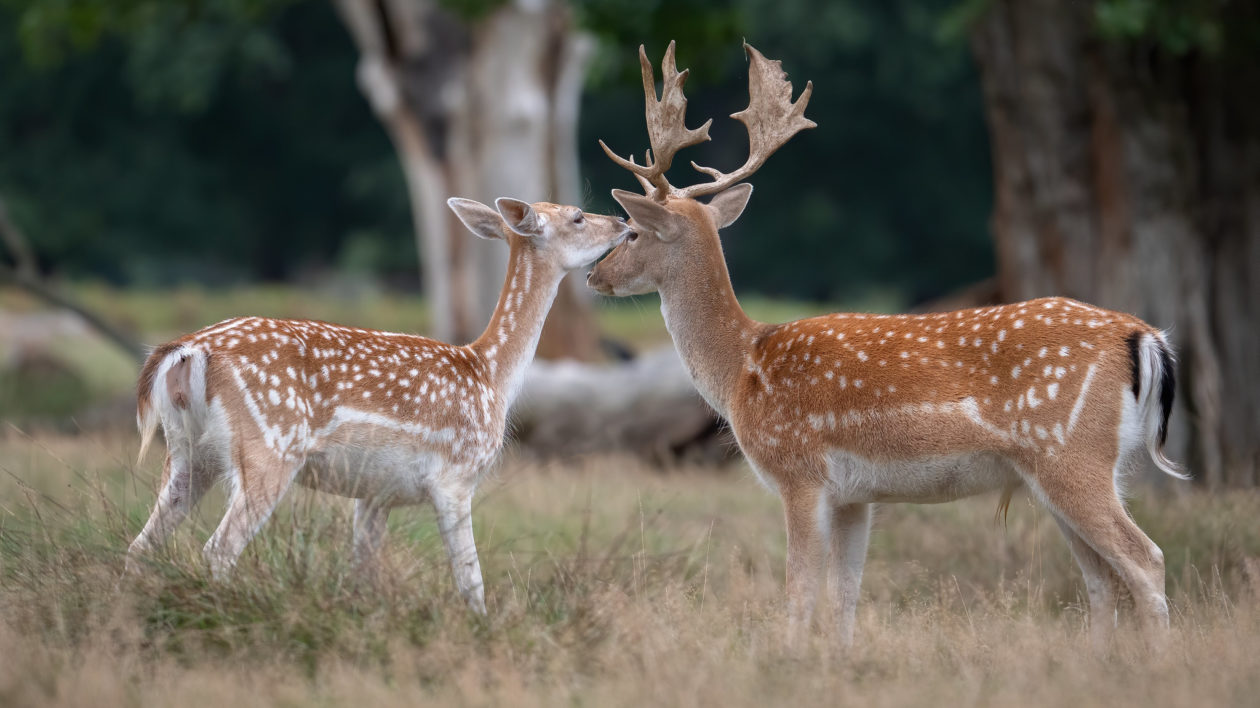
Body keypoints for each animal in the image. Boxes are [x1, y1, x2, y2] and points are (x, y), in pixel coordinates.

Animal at [130, 195, 630, 609]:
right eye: (577, 216)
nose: (623, 222)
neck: (489, 372)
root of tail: (185, 351)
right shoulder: (455, 477)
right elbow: (471, 581)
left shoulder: (374, 493)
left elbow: (363, 577)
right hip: (270, 444)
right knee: (216, 550)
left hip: (188, 452)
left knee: (141, 546)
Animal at [584, 39, 1184, 645]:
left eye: (632, 232)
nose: (593, 275)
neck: (742, 368)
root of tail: (1143, 336)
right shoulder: (855, 495)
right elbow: (845, 594)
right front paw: (840, 657)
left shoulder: (800, 471)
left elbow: (800, 591)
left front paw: (786, 656)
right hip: (1064, 470)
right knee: (1101, 578)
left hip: (1071, 454)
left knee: (1146, 558)